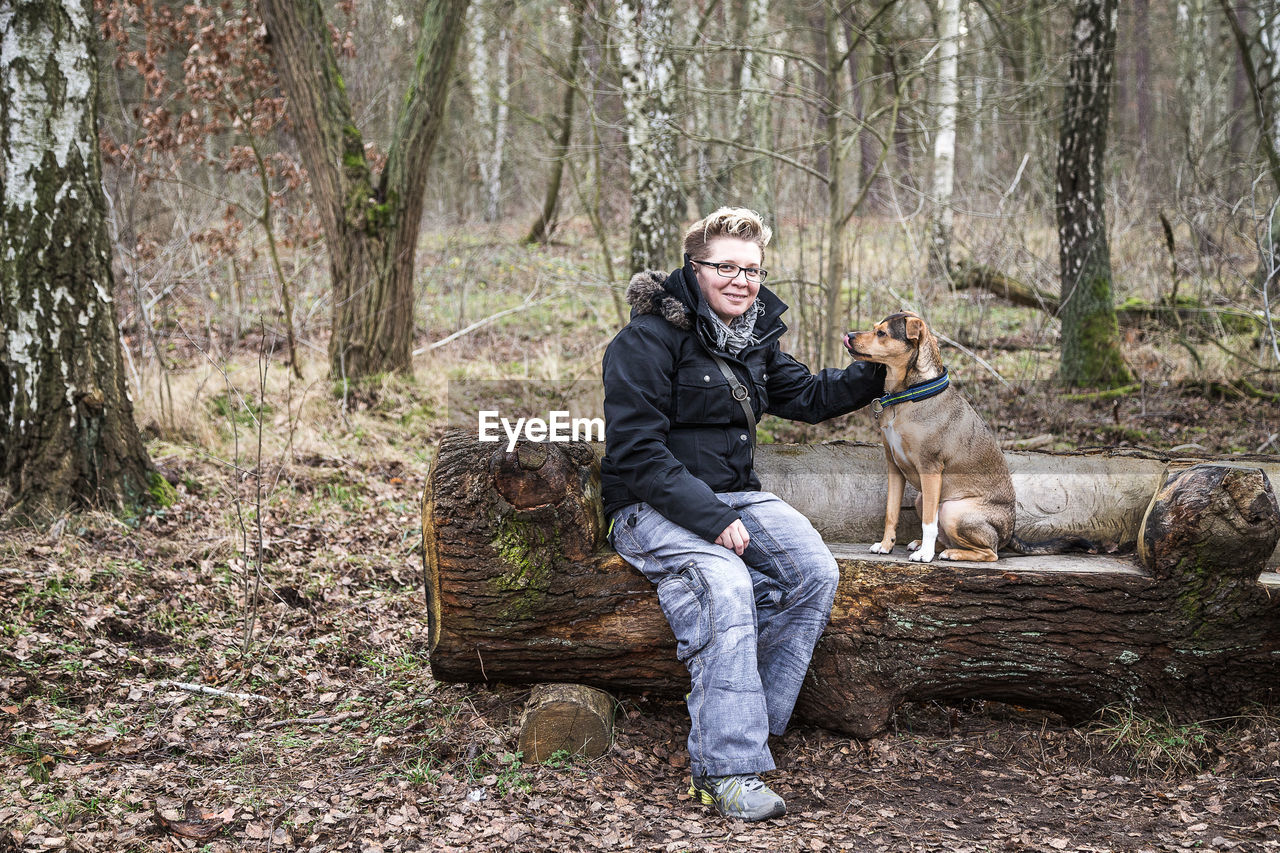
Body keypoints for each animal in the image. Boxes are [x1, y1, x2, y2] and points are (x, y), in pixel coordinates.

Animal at [844, 308, 1085, 560]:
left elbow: (929, 522)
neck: (909, 395)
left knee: (990, 552)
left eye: (881, 333)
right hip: (923, 498)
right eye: (874, 328)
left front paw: (924, 556)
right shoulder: (894, 468)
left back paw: (949, 553)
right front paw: (886, 545)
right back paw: (927, 545)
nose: (849, 336)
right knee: (947, 538)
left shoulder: (930, 469)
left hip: (952, 510)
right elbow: (891, 513)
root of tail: (1009, 534)